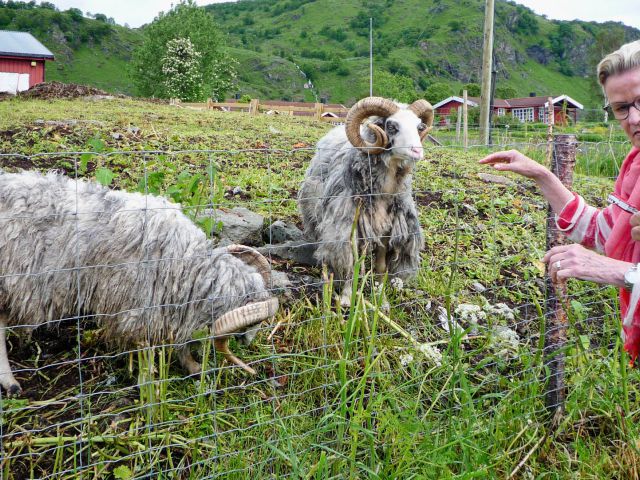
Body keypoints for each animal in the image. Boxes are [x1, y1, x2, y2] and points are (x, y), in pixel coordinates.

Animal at [0, 171, 278, 396]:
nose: (248, 342)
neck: (186, 264)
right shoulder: (138, 308)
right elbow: (145, 348)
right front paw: (147, 383)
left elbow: (180, 340)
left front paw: (192, 366)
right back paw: (10, 382)